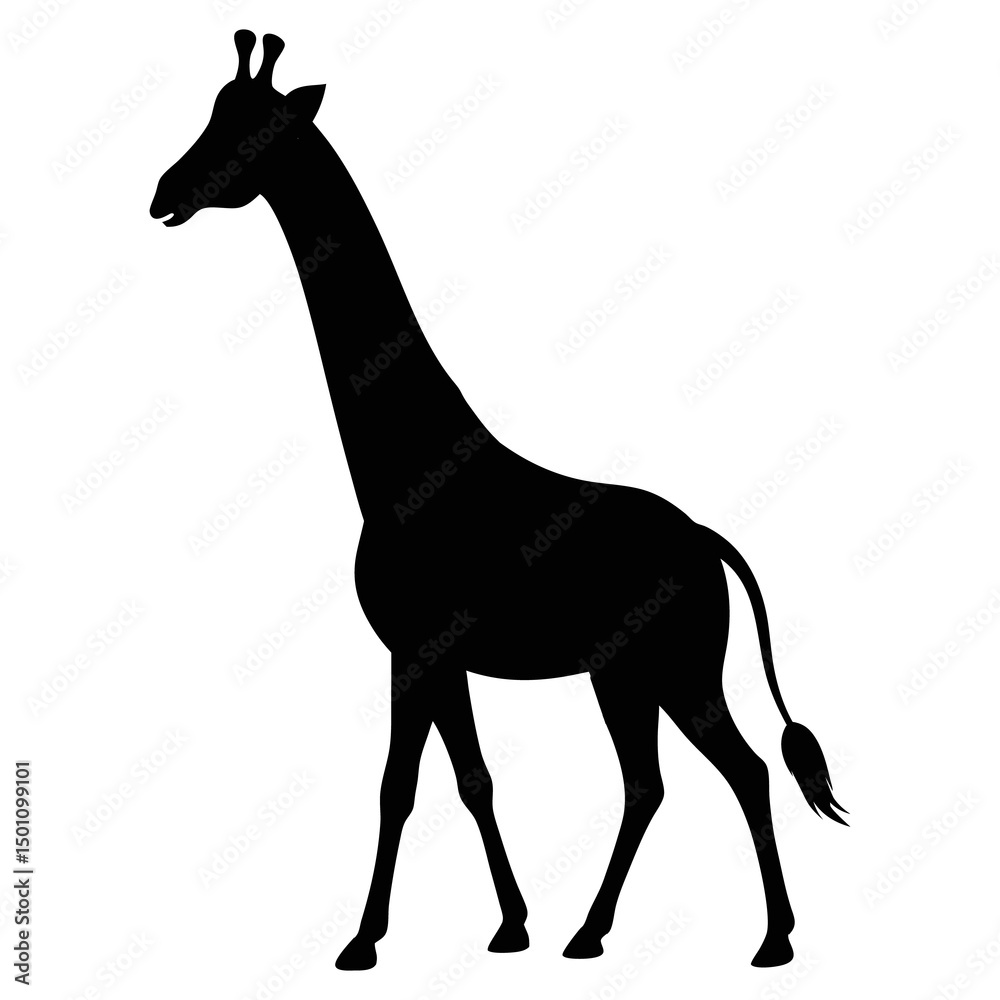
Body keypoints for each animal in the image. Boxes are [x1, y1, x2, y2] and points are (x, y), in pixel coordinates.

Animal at [150, 31, 847, 972]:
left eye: (245, 128)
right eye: (211, 113)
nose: (162, 193)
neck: (403, 463)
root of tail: (709, 540)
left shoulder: (414, 649)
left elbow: (399, 786)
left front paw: (361, 942)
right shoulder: (438, 657)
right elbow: (468, 780)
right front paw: (511, 925)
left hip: (679, 668)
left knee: (743, 770)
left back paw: (772, 941)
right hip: (624, 674)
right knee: (650, 784)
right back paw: (589, 933)